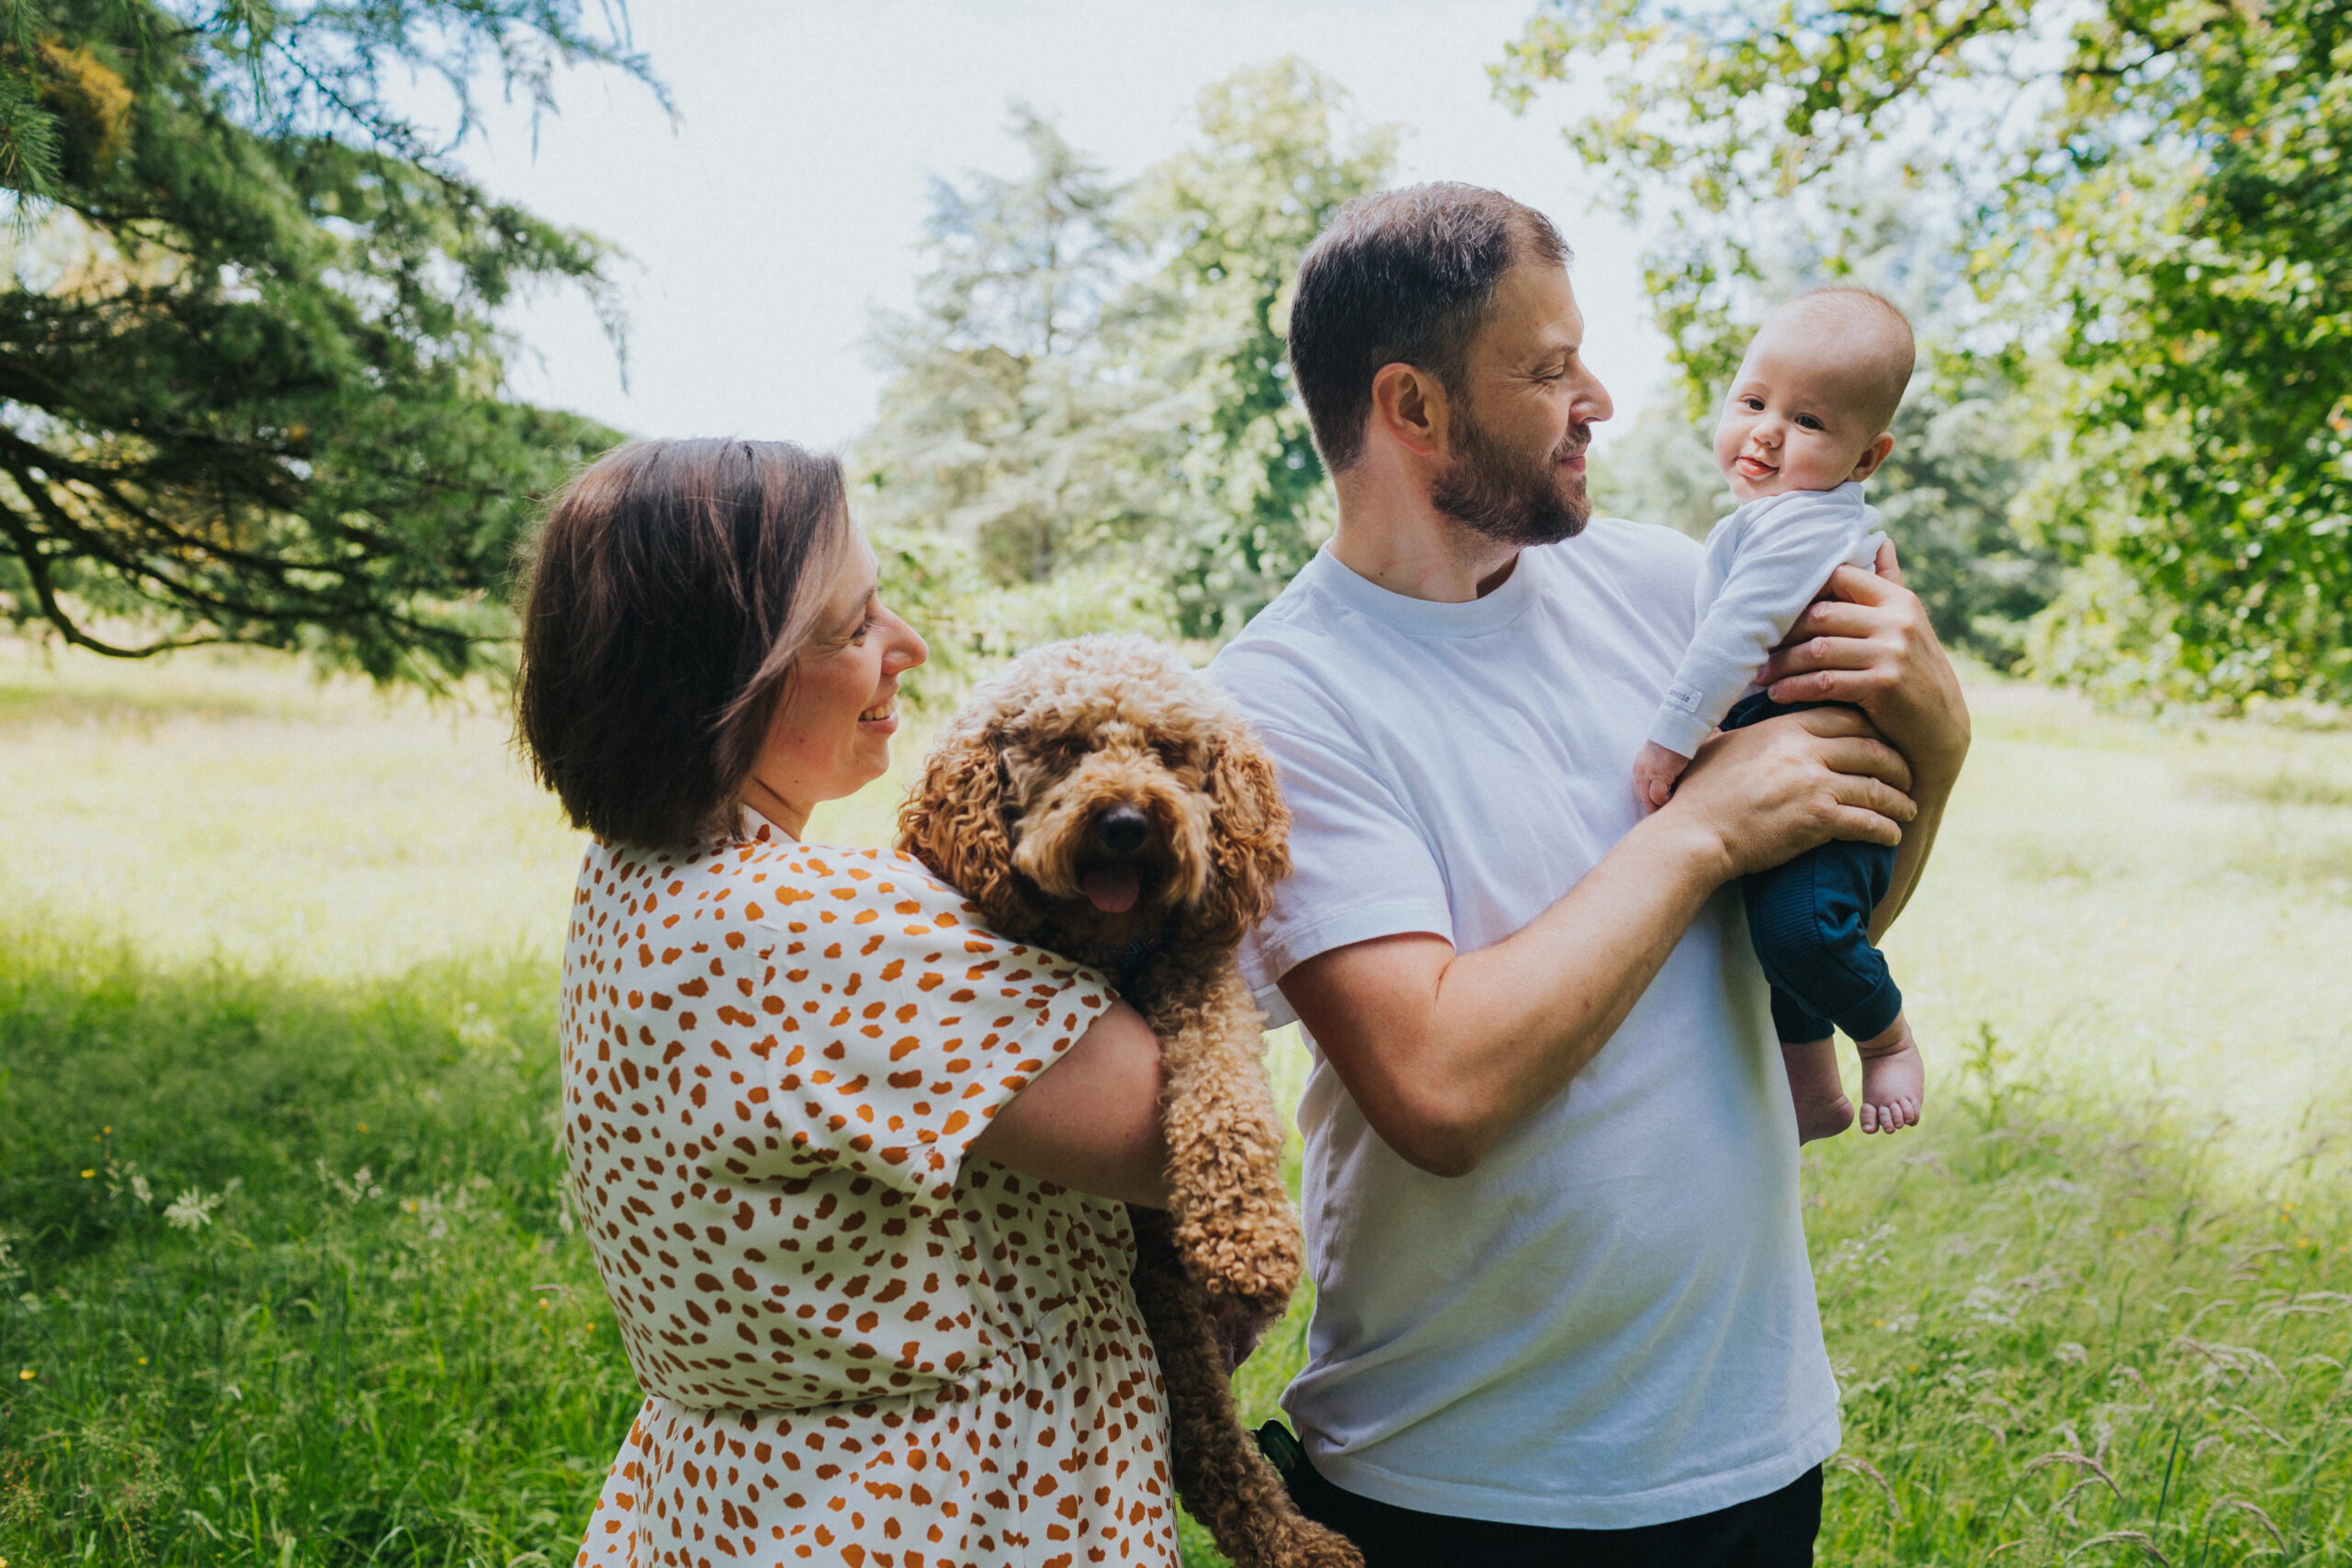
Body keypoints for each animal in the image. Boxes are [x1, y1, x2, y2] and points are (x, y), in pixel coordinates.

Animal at [893, 634, 1363, 1568]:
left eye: (1169, 750)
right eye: (1064, 747)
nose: (1125, 822)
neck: (1110, 949)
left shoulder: (1201, 975)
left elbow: (1225, 1093)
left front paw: (1250, 1236)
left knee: (1212, 1446)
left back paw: (1295, 1540)